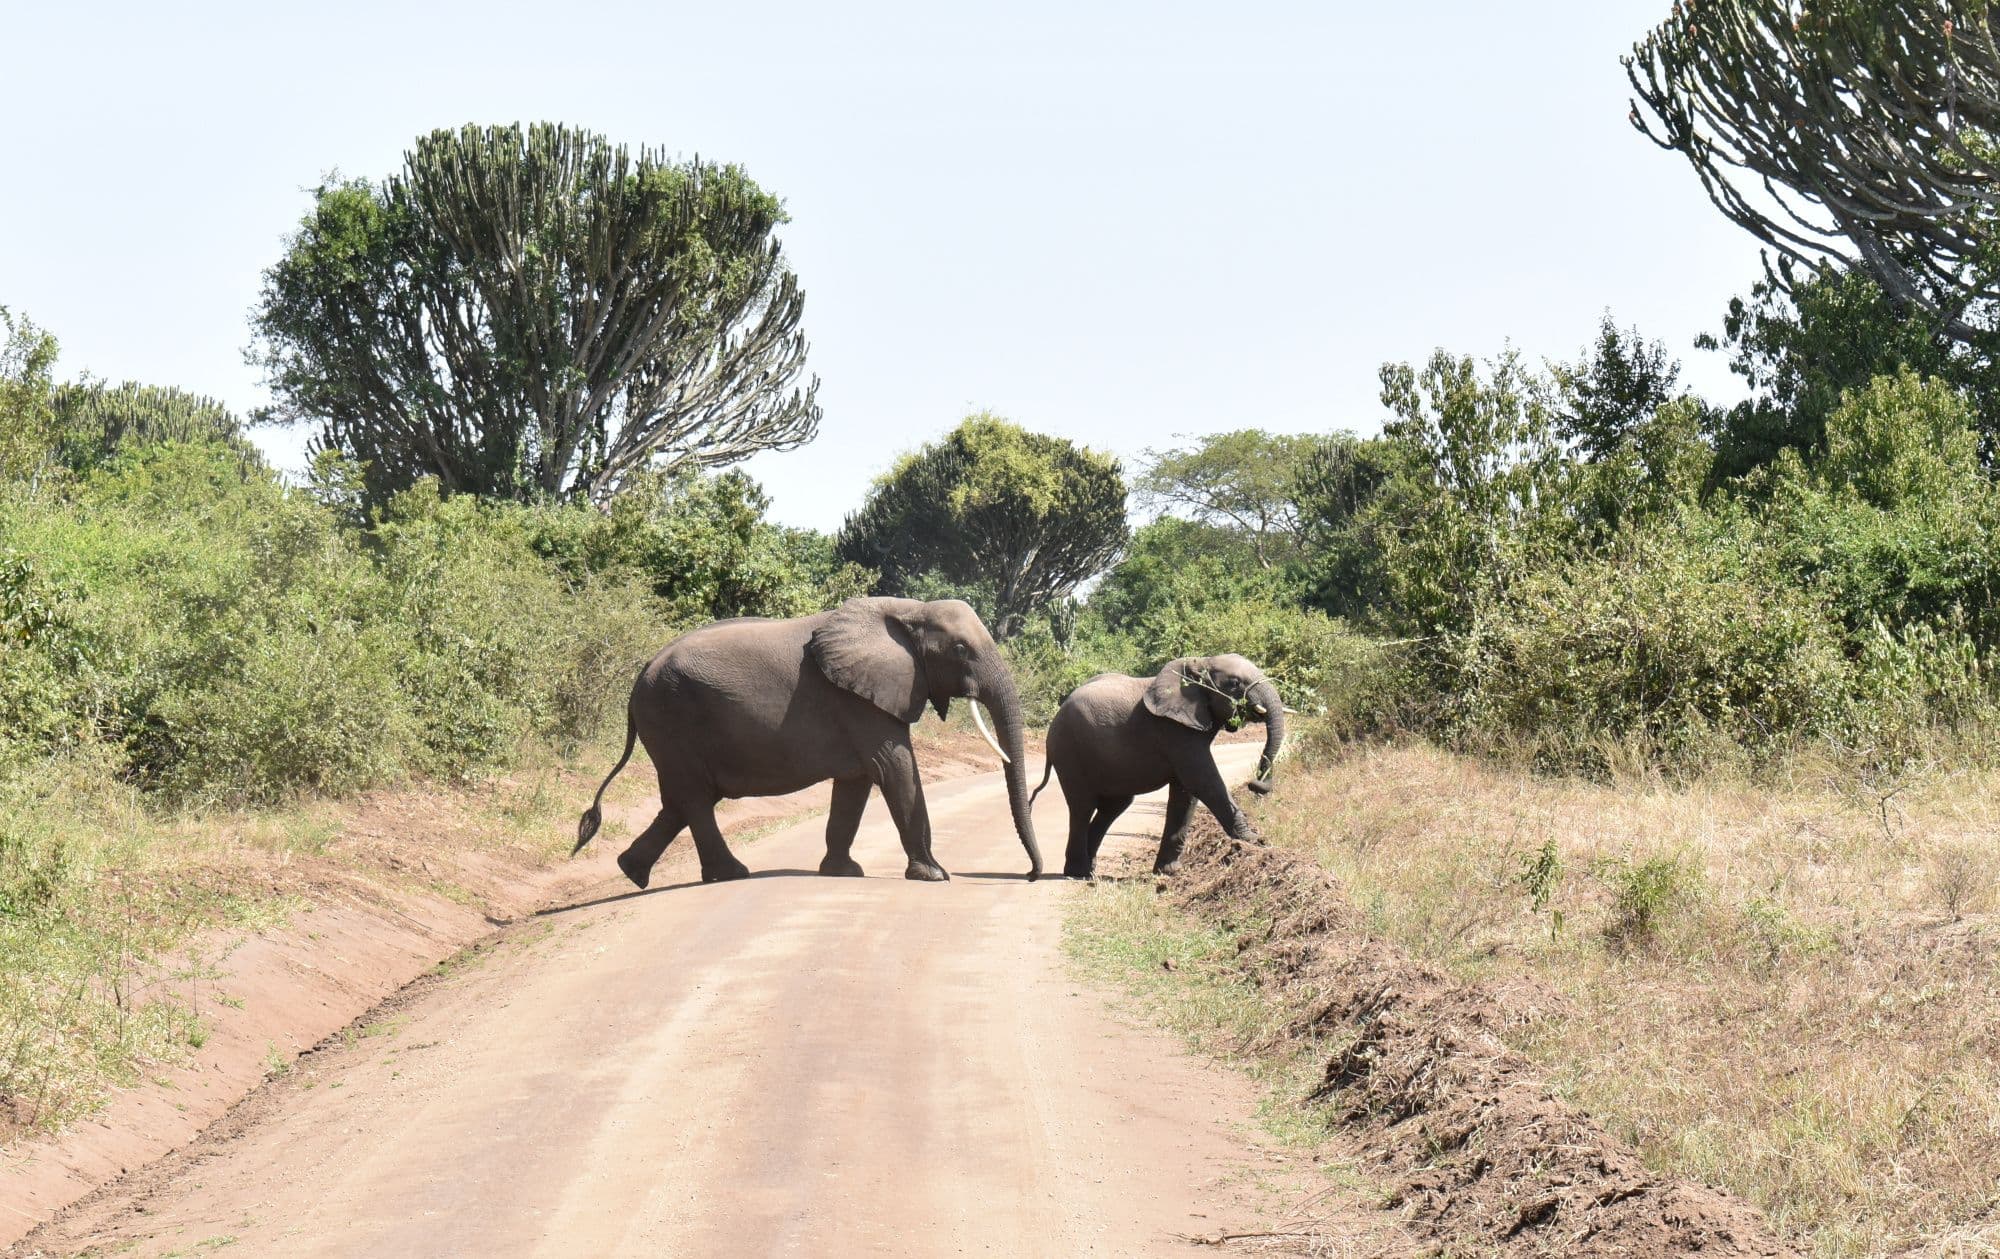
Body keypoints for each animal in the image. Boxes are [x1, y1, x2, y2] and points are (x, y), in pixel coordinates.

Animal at [573, 596, 1042, 888]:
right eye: (960, 650)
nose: (1032, 875)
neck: (910, 610)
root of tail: (641, 672)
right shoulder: (860, 702)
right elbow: (895, 768)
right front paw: (935, 876)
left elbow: (857, 782)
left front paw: (843, 872)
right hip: (671, 718)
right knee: (694, 798)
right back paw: (732, 875)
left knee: (681, 800)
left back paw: (634, 872)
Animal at [1030, 654, 1284, 879]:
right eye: (1234, 683)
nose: (1255, 784)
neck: (1200, 662)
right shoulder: (1175, 730)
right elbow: (1202, 781)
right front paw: (1256, 841)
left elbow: (1185, 793)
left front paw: (1169, 872)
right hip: (1069, 752)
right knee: (1082, 806)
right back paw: (1078, 873)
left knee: (1113, 806)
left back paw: (1089, 871)